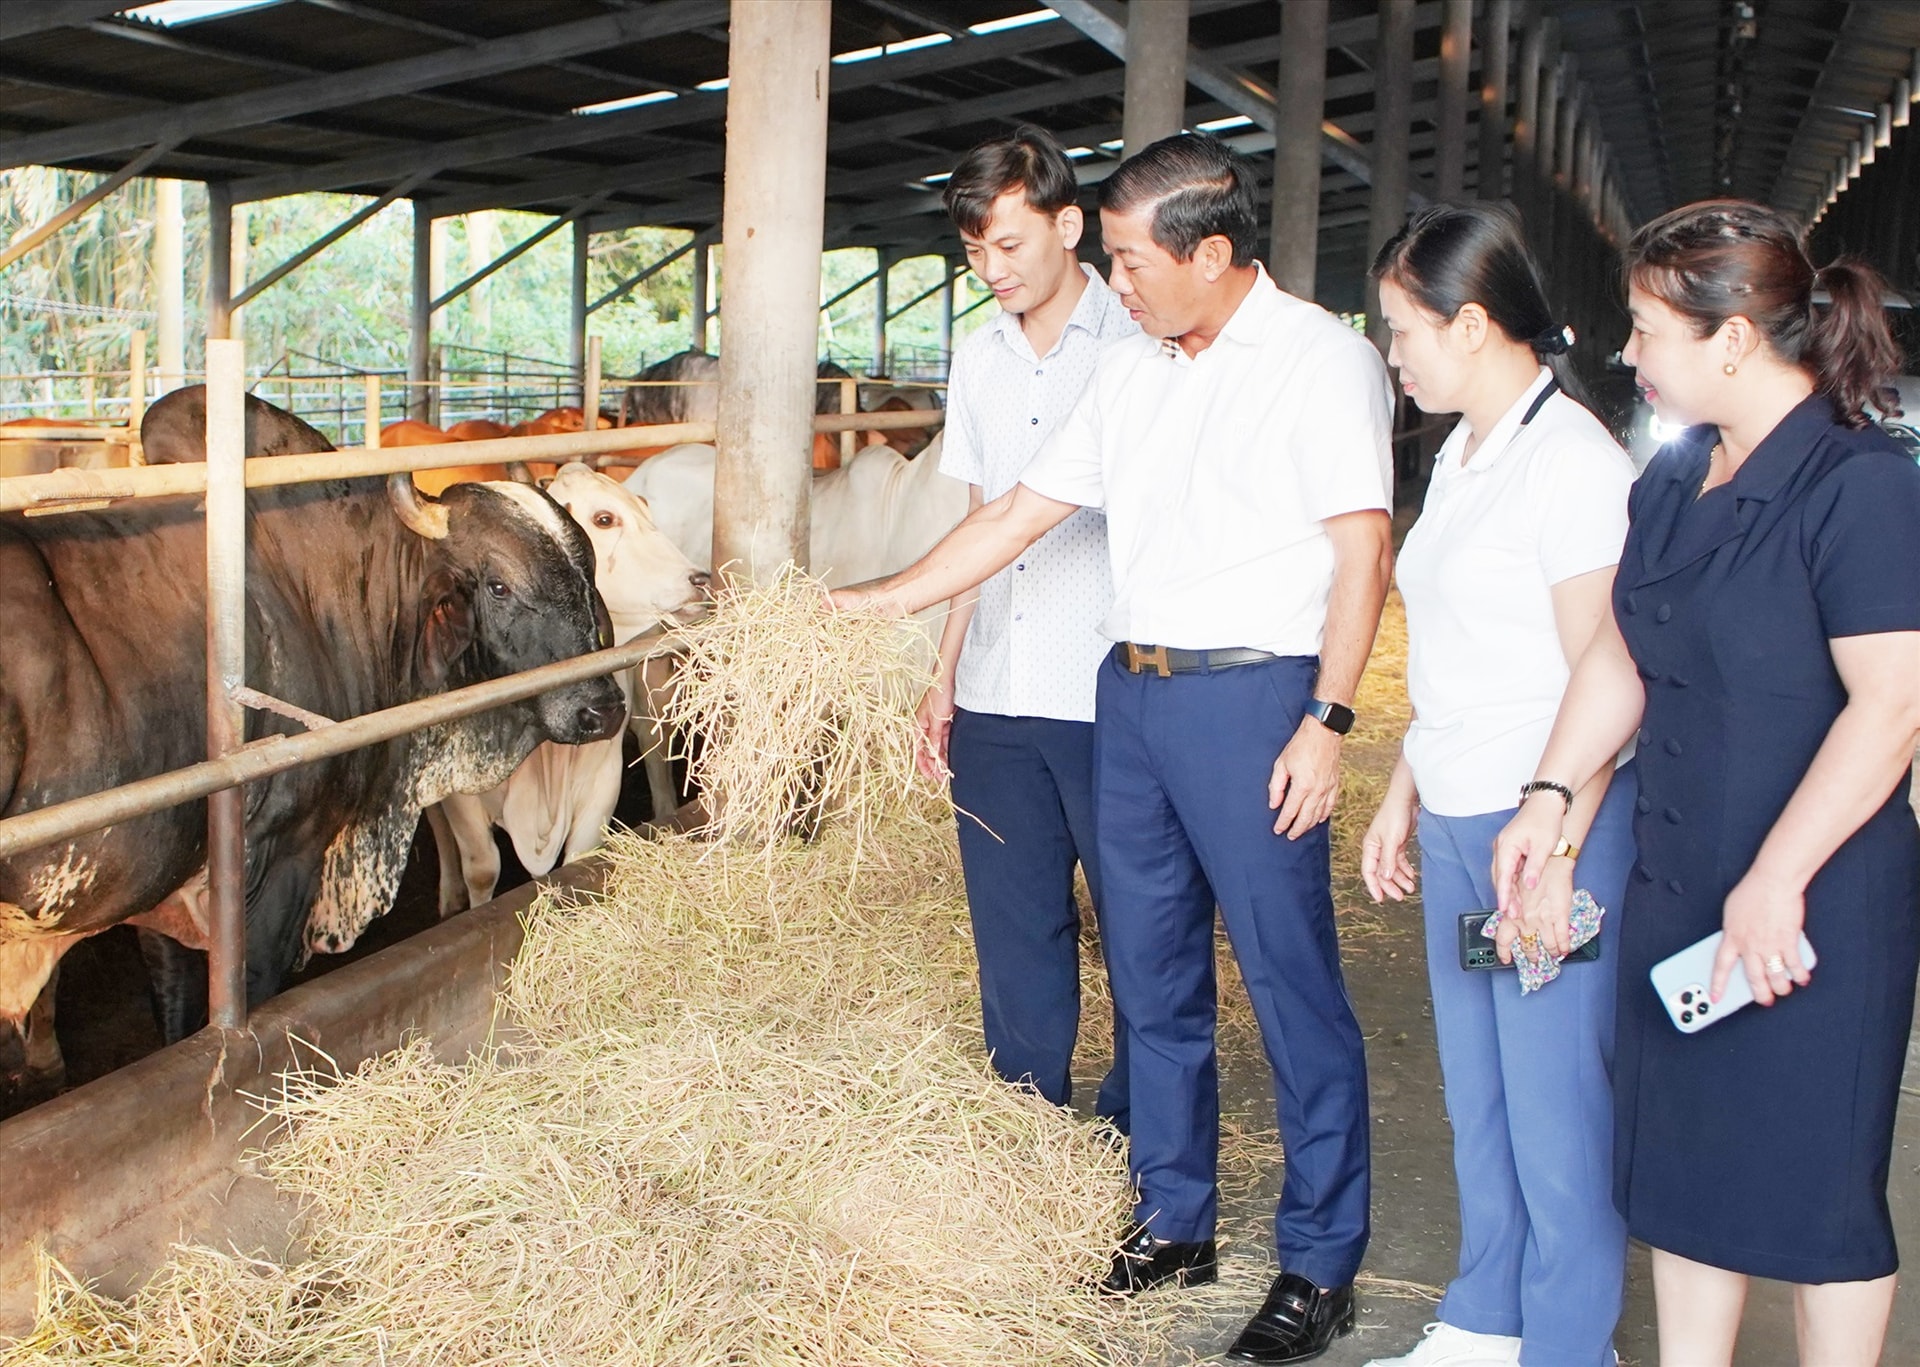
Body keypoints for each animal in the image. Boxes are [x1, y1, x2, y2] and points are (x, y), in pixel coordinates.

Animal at [0, 387, 618, 1113]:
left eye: (587, 570)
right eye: (497, 586)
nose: (604, 708)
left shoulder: (170, 882)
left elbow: (176, 1010)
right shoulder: (277, 860)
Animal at [428, 462, 714, 917]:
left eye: (645, 509)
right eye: (604, 519)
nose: (700, 579)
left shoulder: (603, 774)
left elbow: (579, 862)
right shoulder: (460, 793)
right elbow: (482, 868)